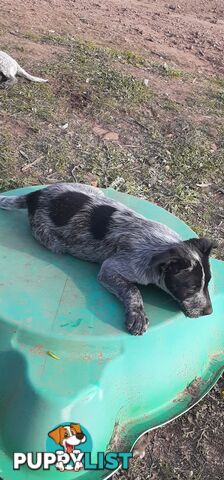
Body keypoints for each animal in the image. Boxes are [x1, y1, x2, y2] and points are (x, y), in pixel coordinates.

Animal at [0, 182, 215, 336]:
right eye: (191, 288)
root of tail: (35, 195)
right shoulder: (110, 268)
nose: (210, 312)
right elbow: (133, 289)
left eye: (207, 284)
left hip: (93, 190)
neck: (161, 244)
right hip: (53, 242)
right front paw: (137, 315)